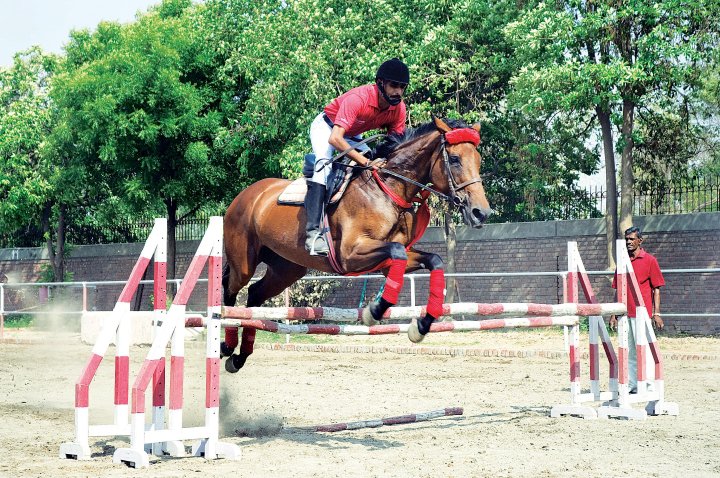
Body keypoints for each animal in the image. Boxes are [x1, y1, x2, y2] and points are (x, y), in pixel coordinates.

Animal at [221, 116, 492, 372]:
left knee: (255, 295)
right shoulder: (350, 255)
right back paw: (226, 344)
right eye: (455, 159)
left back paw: (239, 356)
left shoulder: (387, 263)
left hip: (286, 269)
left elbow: (432, 260)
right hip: (244, 263)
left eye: (479, 160)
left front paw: (422, 325)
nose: (481, 213)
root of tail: (246, 195)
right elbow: (397, 253)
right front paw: (374, 311)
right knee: (230, 290)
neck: (388, 189)